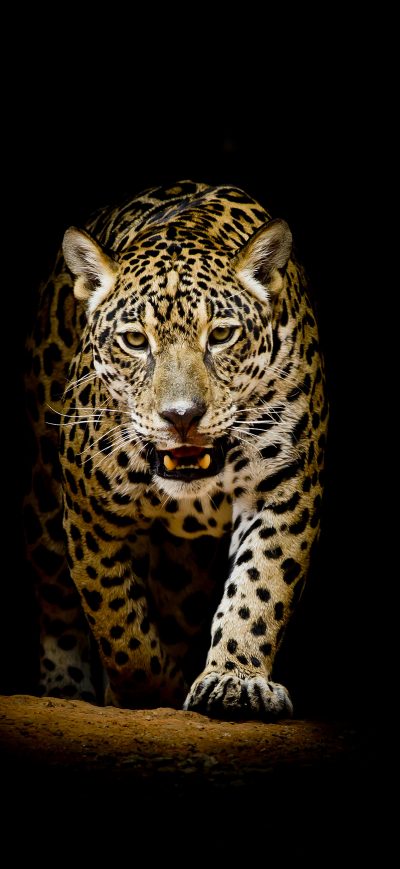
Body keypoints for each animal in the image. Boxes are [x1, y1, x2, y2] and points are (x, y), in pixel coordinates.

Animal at [24, 179, 327, 720]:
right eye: (134, 340)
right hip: (42, 504)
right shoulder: (88, 511)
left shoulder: (284, 489)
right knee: (57, 600)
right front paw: (148, 691)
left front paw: (234, 680)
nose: (182, 416)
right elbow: (117, 619)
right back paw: (64, 686)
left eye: (222, 335)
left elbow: (260, 585)